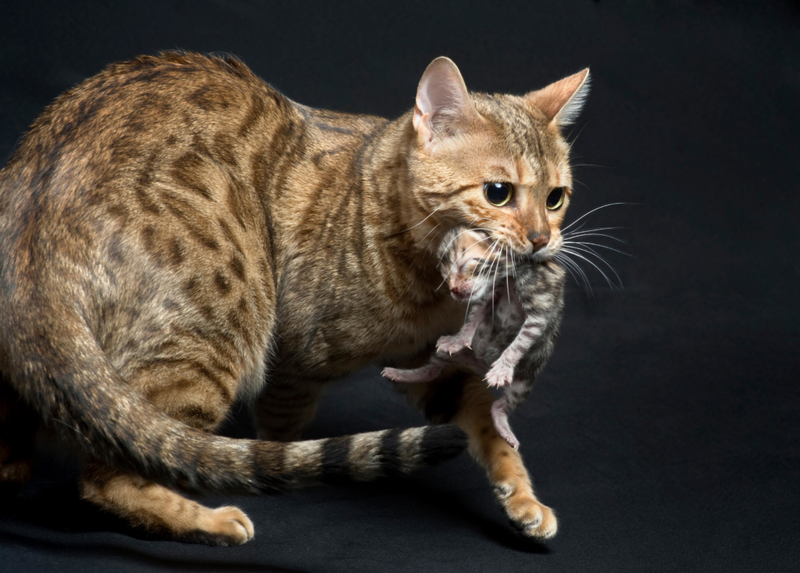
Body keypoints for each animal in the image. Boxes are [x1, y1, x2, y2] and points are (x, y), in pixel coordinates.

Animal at [382, 226, 564, 450]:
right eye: (445, 271)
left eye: (465, 264)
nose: (454, 289)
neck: (511, 276)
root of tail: (481, 364)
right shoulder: (489, 293)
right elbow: (474, 315)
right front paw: (458, 339)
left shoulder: (539, 311)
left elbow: (520, 342)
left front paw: (502, 368)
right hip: (451, 355)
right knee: (432, 370)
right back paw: (404, 373)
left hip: (523, 382)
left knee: (500, 405)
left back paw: (503, 425)